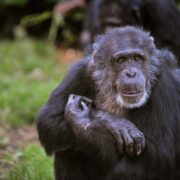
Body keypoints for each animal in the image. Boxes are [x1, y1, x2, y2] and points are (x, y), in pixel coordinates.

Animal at [36, 26, 180, 179]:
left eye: (137, 58)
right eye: (121, 60)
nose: (131, 73)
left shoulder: (164, 82)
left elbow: (159, 153)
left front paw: (82, 119)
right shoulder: (81, 71)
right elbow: (49, 120)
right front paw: (115, 123)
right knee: (67, 147)